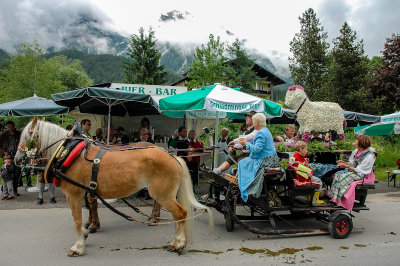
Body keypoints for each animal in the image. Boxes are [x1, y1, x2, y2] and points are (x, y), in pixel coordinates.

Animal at [14, 117, 216, 256]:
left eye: (27, 135)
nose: (16, 158)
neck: (70, 152)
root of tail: (171, 155)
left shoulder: (74, 194)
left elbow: (77, 220)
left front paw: (79, 246)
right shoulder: (87, 192)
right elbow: (87, 211)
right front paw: (87, 231)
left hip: (163, 195)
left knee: (181, 214)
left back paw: (178, 244)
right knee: (176, 216)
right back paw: (173, 240)